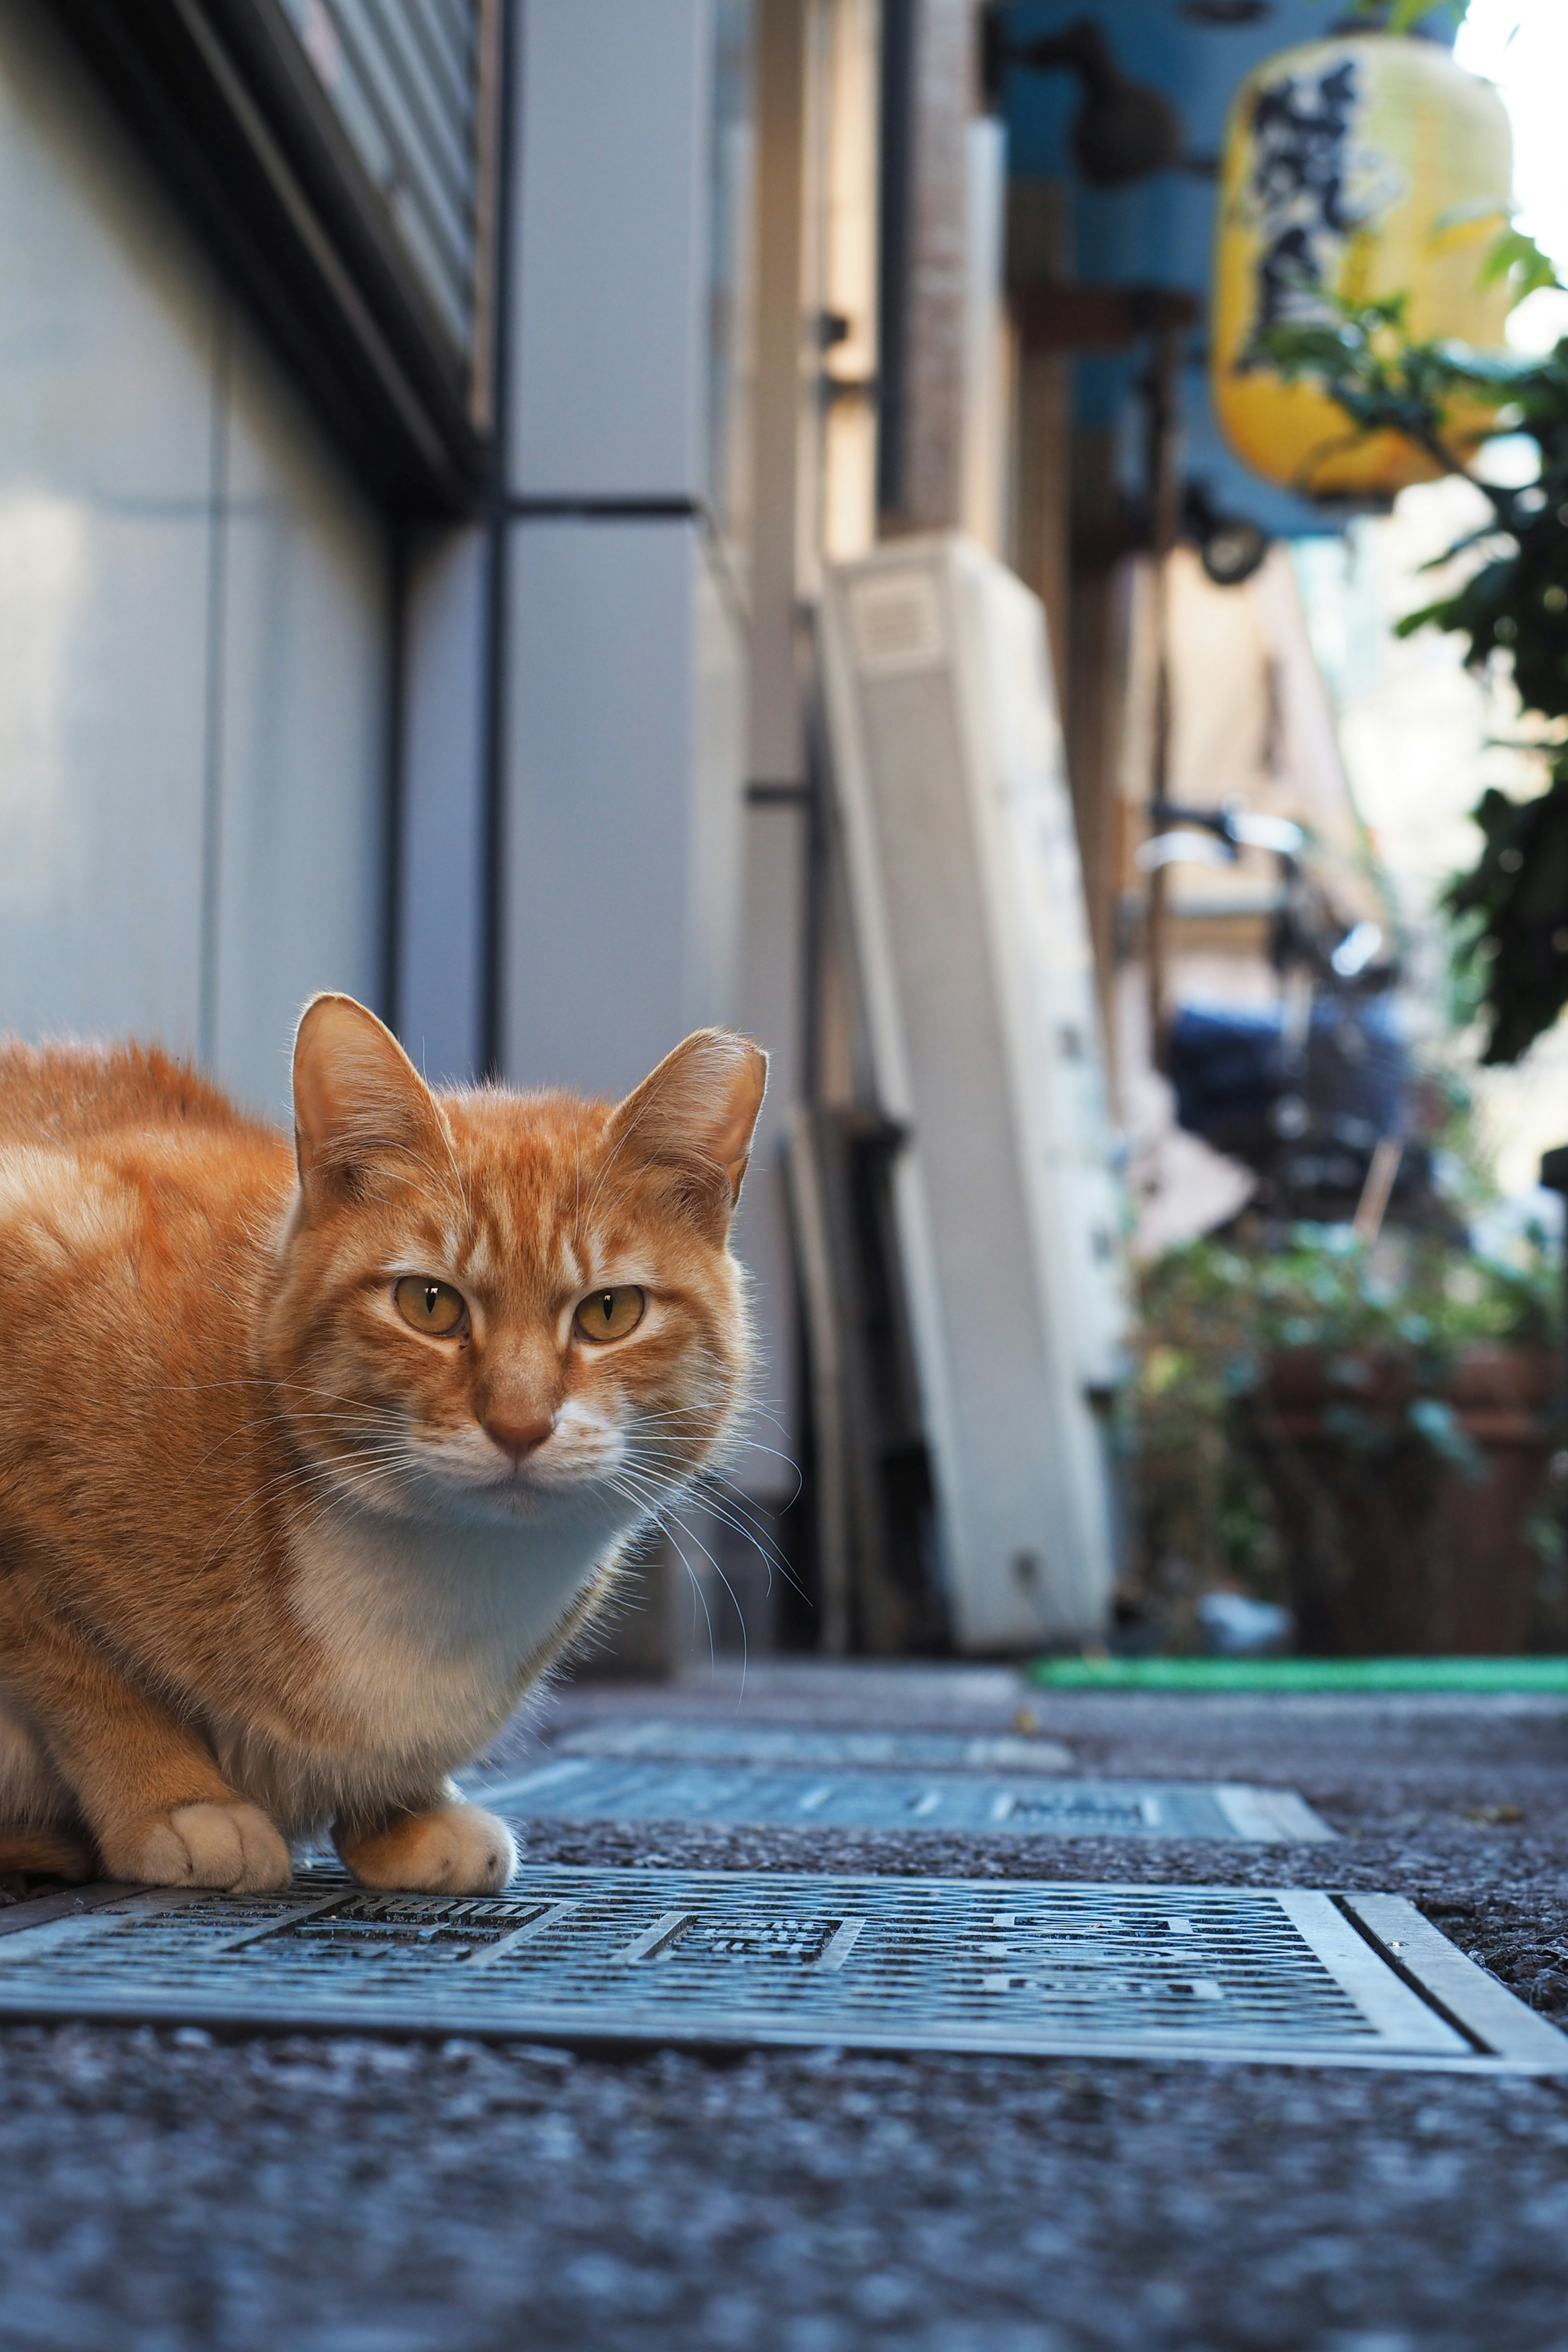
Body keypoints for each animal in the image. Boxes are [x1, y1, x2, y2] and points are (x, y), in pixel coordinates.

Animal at [0, 992, 766, 1891]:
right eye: (429, 1303)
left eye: (610, 1312)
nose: (519, 1424)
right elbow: (91, 1682)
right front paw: (180, 1802)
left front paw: (407, 1815)